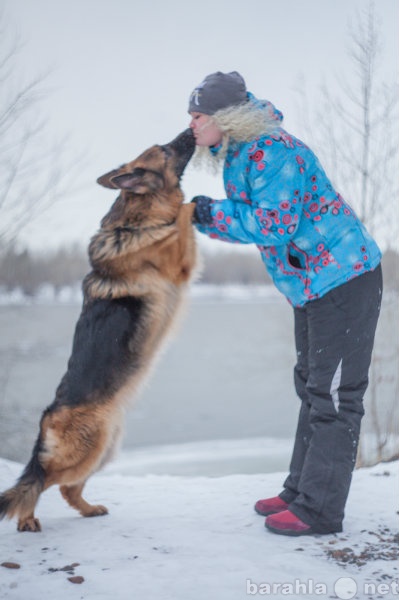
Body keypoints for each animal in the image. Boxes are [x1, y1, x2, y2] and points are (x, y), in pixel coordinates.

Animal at [0, 127, 198, 528]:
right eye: (166, 149)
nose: (191, 129)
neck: (136, 219)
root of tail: (46, 418)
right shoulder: (179, 263)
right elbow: (182, 215)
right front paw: (195, 204)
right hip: (89, 451)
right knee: (40, 481)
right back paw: (26, 519)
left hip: (105, 447)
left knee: (65, 488)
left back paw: (89, 509)